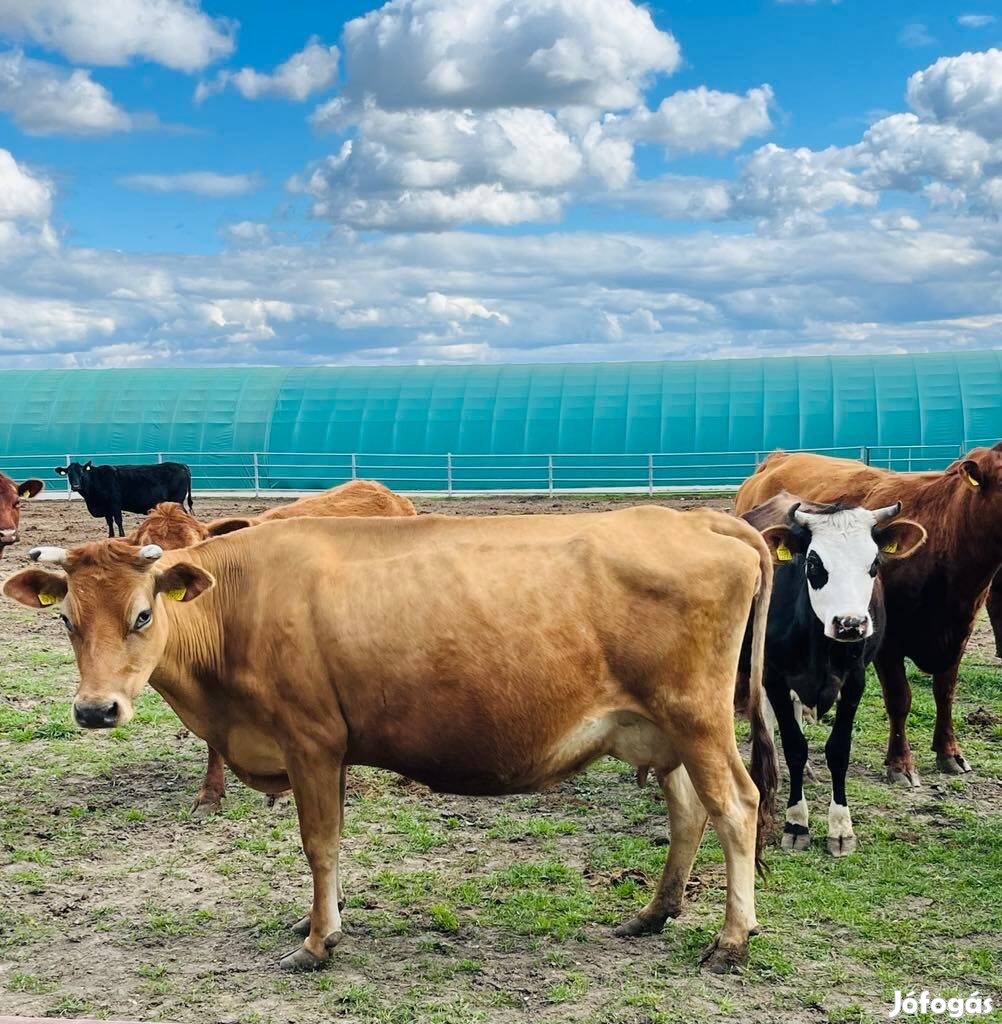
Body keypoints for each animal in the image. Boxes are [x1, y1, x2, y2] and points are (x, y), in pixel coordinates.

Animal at [55, 462, 193, 540]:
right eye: (69, 473)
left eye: (81, 472)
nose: (76, 486)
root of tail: (182, 466)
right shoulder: (106, 508)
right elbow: (109, 522)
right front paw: (110, 536)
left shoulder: (115, 504)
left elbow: (118, 521)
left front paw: (122, 536)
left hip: (176, 500)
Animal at [732, 444, 1002, 786]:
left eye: (875, 563)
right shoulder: (888, 644)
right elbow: (900, 698)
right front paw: (900, 763)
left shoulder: (958, 632)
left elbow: (945, 692)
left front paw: (948, 752)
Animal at [741, 495, 929, 856]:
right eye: (814, 564)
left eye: (874, 563)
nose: (850, 623)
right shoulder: (774, 675)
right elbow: (794, 746)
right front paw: (796, 823)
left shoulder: (855, 680)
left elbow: (839, 750)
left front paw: (841, 828)